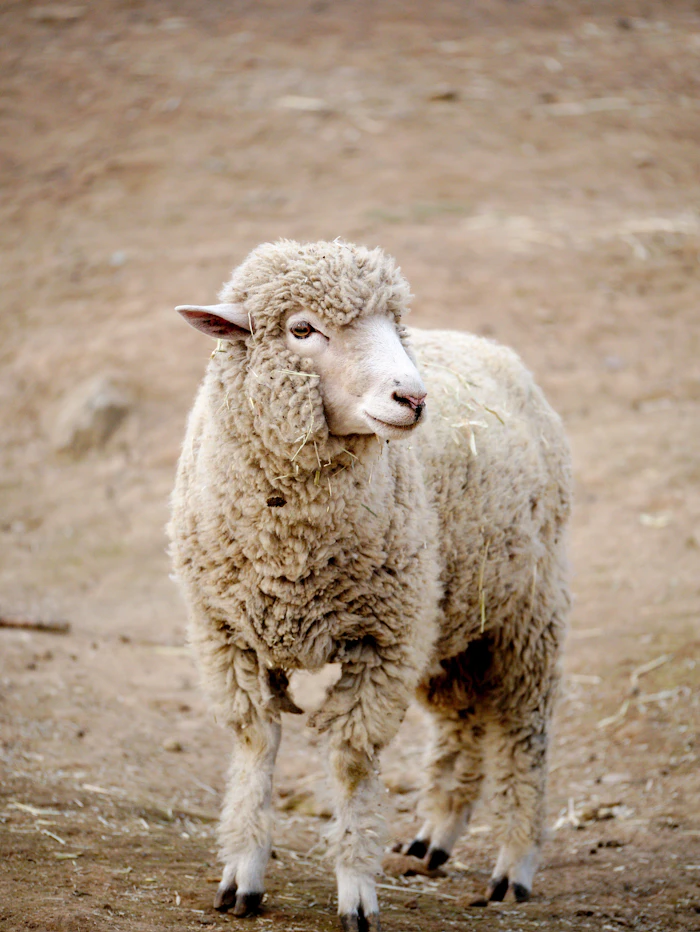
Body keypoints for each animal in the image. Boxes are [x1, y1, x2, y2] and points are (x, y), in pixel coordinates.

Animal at [168, 239, 571, 931]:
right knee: (463, 721)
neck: (292, 554)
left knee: (524, 733)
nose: (413, 398)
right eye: (302, 329)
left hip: (524, 615)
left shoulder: (383, 643)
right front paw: (242, 874)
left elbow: (353, 762)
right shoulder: (228, 634)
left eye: (393, 326)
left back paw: (513, 866)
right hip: (449, 619)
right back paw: (435, 836)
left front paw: (356, 890)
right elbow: (255, 744)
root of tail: (490, 346)